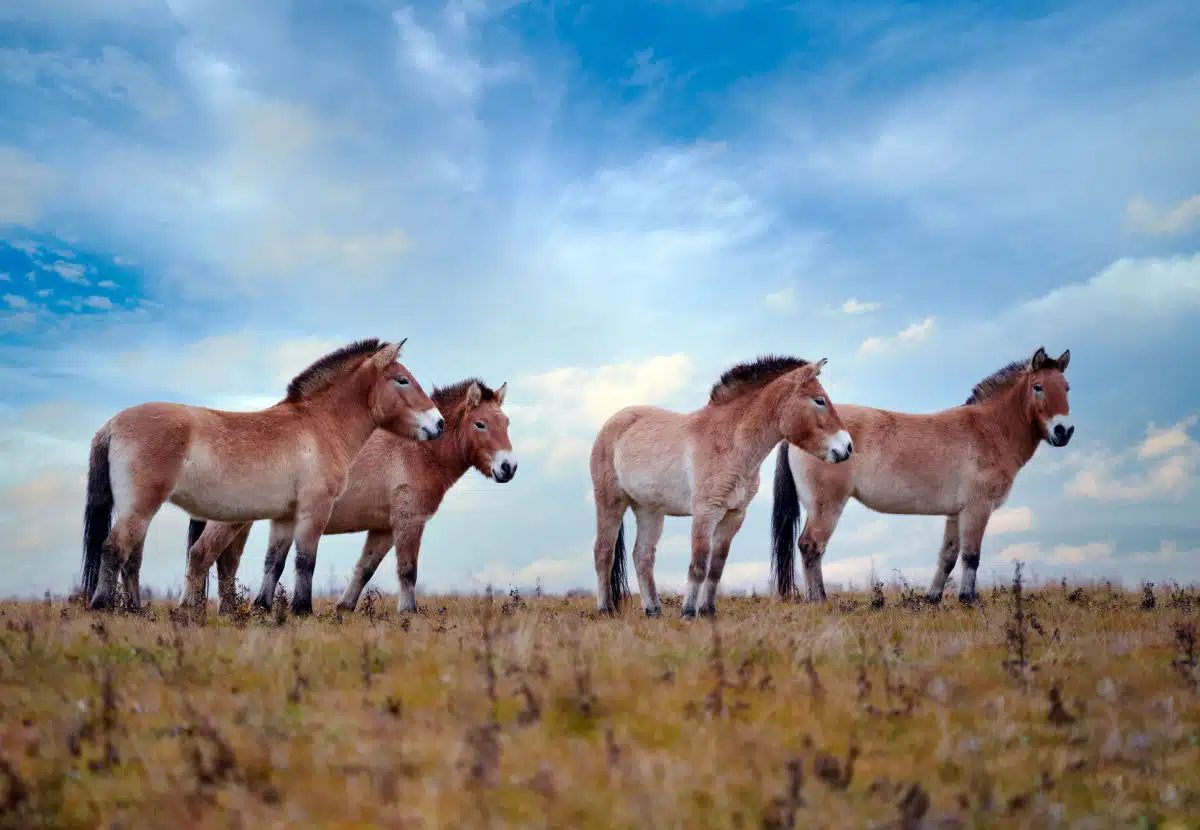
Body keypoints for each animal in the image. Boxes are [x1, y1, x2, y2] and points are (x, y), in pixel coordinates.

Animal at [81, 338, 446, 614]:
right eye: (401, 379)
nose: (439, 423)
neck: (319, 426)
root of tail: (111, 424)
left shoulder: (284, 517)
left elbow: (275, 562)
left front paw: (264, 608)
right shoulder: (314, 510)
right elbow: (305, 561)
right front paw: (302, 610)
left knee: (131, 556)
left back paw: (135, 609)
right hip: (140, 508)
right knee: (115, 548)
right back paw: (103, 605)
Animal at [187, 379, 516, 611]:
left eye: (507, 423)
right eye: (480, 424)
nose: (508, 468)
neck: (416, 450)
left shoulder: (383, 529)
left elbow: (364, 568)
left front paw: (344, 608)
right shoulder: (409, 523)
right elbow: (407, 570)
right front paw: (407, 613)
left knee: (226, 563)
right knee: (205, 554)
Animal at [592, 352, 854, 618]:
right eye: (819, 400)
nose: (847, 447)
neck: (730, 443)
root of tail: (614, 422)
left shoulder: (733, 515)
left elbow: (716, 566)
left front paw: (708, 611)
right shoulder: (705, 513)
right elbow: (698, 564)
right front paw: (688, 613)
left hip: (649, 510)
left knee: (643, 556)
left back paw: (653, 611)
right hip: (610, 502)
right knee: (603, 552)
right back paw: (606, 609)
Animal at [772, 347, 1075, 606]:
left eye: (1067, 387)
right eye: (1038, 387)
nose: (1063, 431)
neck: (989, 429)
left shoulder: (956, 513)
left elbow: (948, 556)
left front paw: (933, 599)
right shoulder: (977, 509)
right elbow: (971, 555)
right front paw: (969, 600)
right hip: (827, 507)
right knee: (811, 546)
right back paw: (819, 600)